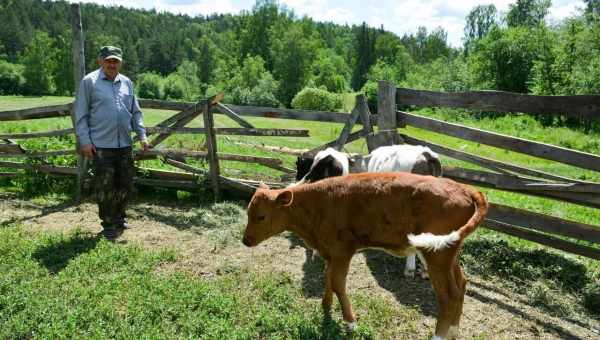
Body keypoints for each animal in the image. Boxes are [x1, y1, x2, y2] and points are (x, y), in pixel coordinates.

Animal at [243, 174, 488, 338]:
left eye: (261, 216)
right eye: (248, 213)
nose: (245, 240)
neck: (319, 205)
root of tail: (466, 189)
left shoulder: (342, 251)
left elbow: (338, 283)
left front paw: (350, 322)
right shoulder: (329, 253)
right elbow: (328, 278)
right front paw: (325, 307)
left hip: (436, 254)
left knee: (448, 296)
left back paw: (439, 336)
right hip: (448, 252)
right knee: (461, 285)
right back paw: (453, 331)